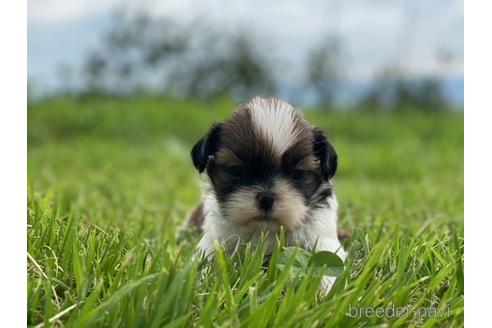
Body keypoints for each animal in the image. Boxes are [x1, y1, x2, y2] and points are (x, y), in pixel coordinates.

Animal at [187, 96, 346, 290]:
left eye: (298, 174)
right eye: (237, 170)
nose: (266, 198)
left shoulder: (321, 233)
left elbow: (325, 259)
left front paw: (325, 288)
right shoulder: (216, 236)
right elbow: (206, 255)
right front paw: (197, 282)